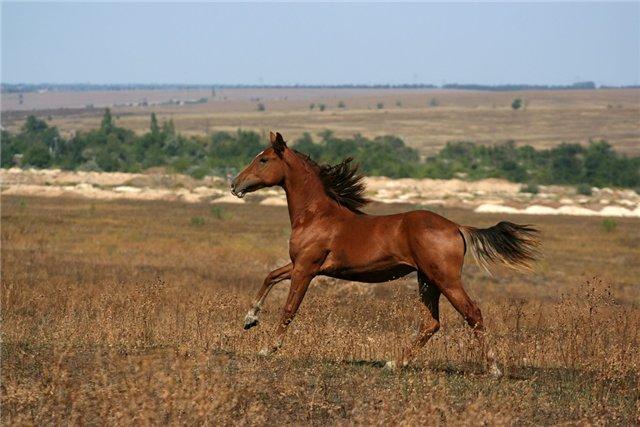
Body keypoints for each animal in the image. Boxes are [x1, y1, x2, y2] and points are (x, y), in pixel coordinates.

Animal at [231, 132, 540, 376]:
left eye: (263, 160)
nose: (235, 184)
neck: (317, 215)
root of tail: (456, 227)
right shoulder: (299, 265)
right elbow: (270, 276)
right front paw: (250, 319)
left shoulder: (306, 268)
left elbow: (289, 308)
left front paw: (268, 348)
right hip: (427, 280)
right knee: (431, 323)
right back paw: (395, 363)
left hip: (446, 279)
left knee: (472, 313)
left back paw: (494, 369)